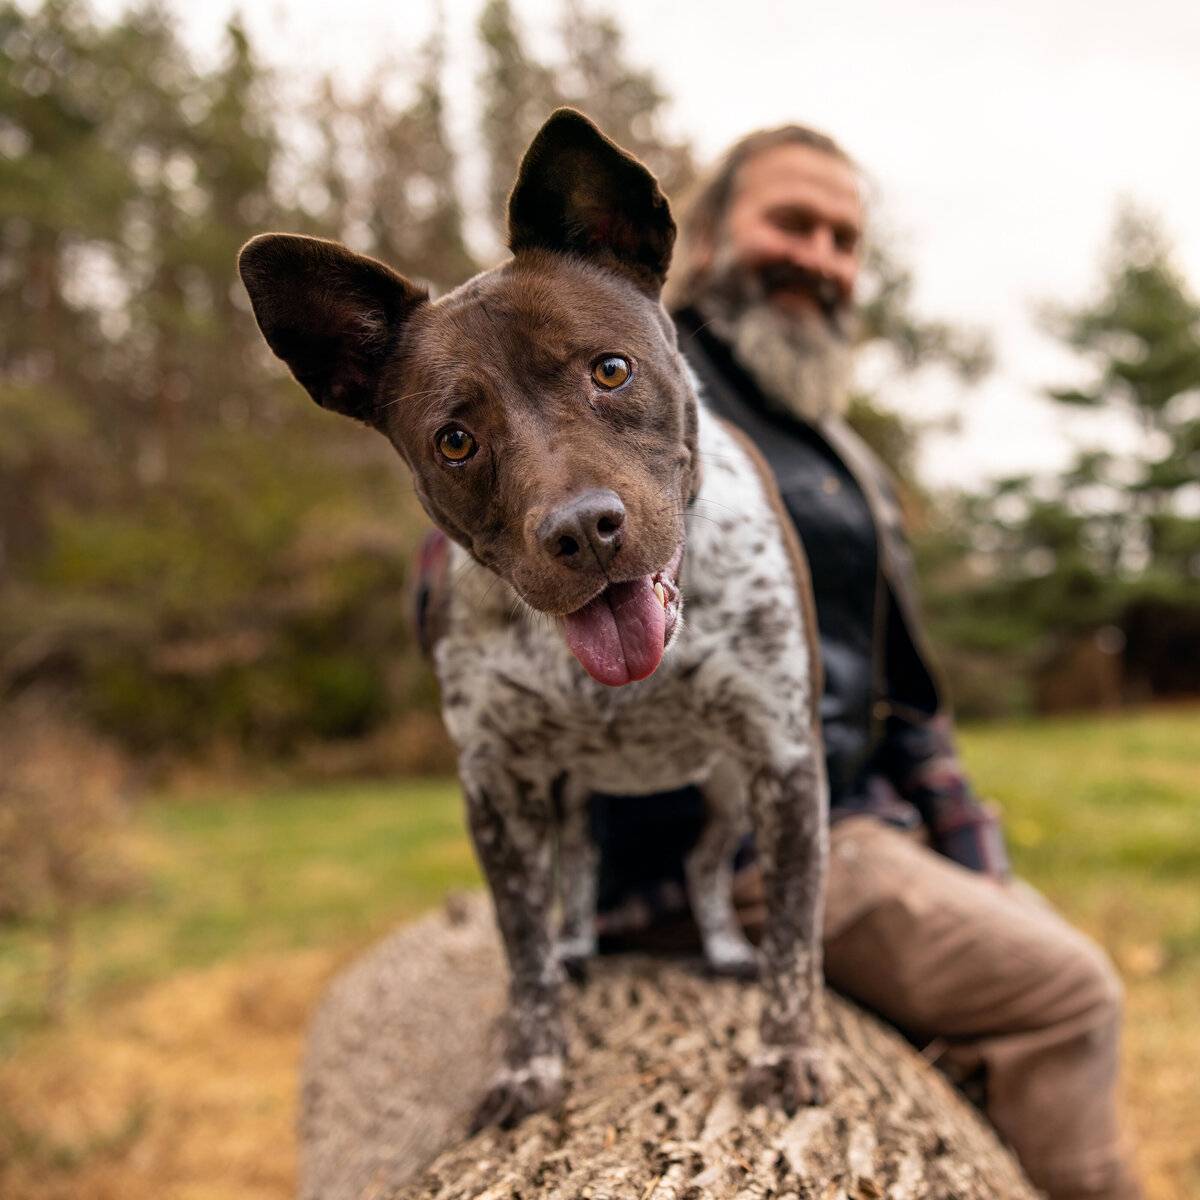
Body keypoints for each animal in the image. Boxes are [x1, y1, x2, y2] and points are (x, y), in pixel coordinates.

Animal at [238, 108, 830, 1128]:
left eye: (611, 370)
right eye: (455, 440)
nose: (584, 532)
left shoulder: (783, 757)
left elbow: (794, 935)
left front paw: (784, 1052)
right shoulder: (500, 789)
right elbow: (522, 953)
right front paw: (531, 1065)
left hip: (722, 792)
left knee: (705, 870)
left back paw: (720, 950)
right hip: (569, 793)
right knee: (581, 874)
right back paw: (580, 948)